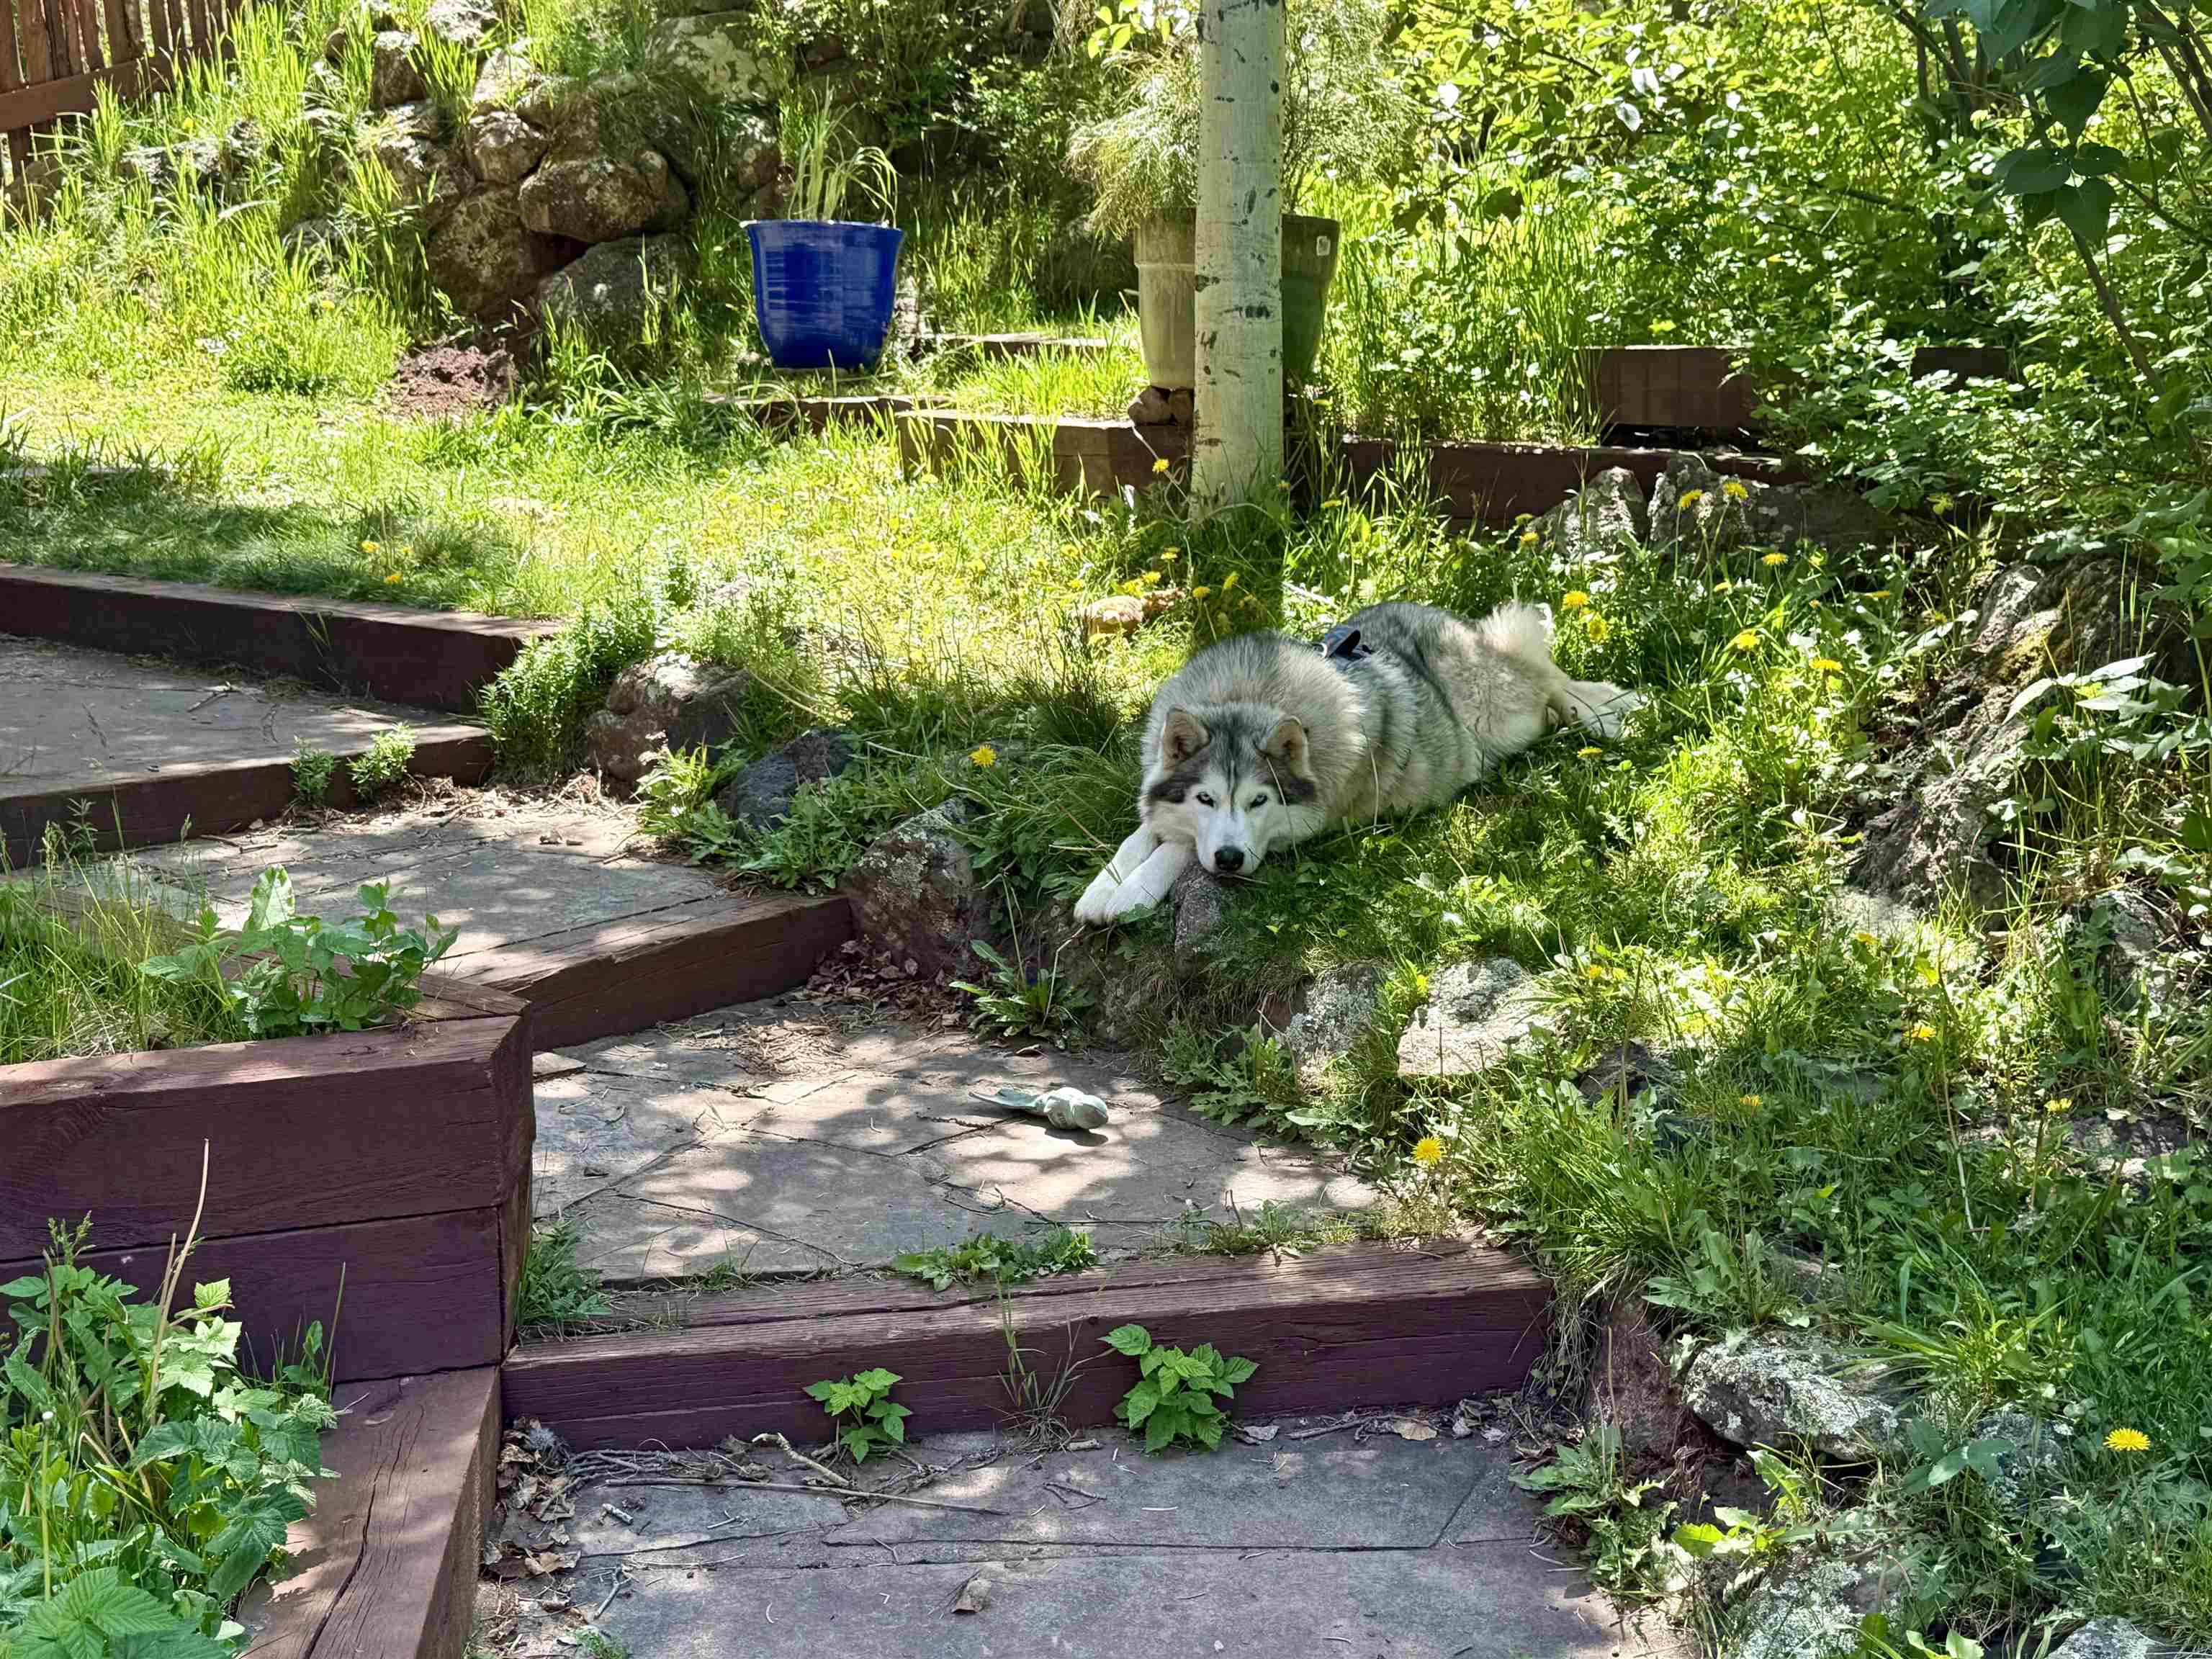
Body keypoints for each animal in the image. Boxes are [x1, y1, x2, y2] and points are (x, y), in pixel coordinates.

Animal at [1073, 601, 1642, 924]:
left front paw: (1130, 894)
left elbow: (1180, 848)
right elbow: (1142, 835)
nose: (1231, 861)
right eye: (1205, 798)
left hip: (1502, 709)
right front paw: (1103, 886)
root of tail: (1441, 615)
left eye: (1259, 802)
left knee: (1551, 682)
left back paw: (1604, 713)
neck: (1249, 696)